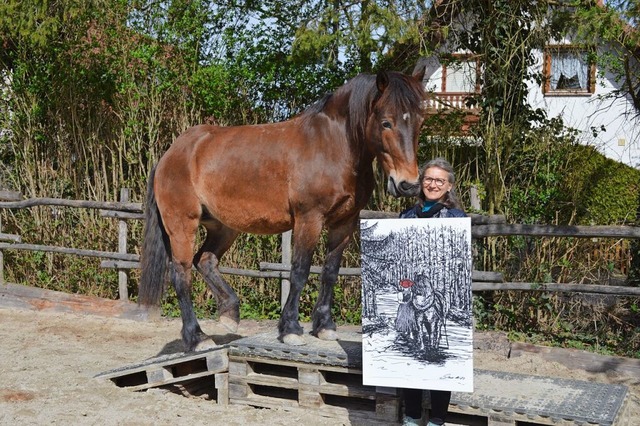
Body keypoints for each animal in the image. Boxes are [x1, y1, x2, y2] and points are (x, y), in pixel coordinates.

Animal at [139, 68, 424, 352]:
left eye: (420, 121)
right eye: (386, 122)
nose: (408, 184)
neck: (332, 146)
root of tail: (171, 154)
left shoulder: (345, 222)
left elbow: (330, 272)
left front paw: (325, 326)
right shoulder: (309, 219)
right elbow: (299, 271)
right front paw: (290, 329)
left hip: (224, 227)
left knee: (205, 261)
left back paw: (230, 313)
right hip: (182, 224)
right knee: (181, 274)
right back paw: (197, 337)